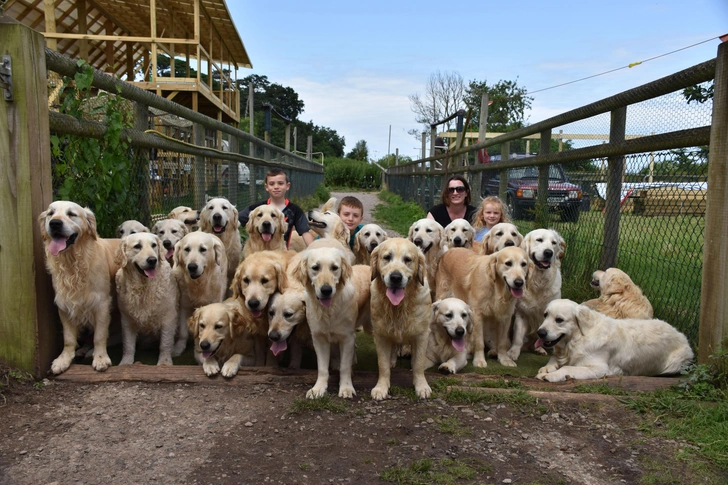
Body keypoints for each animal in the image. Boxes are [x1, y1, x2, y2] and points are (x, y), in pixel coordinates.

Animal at [39, 200, 121, 374]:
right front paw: (64, 359)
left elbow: (100, 335)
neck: (73, 262)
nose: (55, 223)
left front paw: (101, 358)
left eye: (71, 214)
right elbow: (68, 338)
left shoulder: (101, 303)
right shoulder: (64, 304)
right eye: (50, 213)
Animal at [116, 231, 181, 364]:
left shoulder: (169, 317)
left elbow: (165, 343)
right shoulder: (126, 319)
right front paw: (126, 363)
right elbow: (128, 345)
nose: (152, 260)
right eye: (137, 246)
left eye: (154, 245)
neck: (144, 286)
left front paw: (164, 363)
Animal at [370, 238, 432, 400]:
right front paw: (381, 388)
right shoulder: (381, 335)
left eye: (408, 259)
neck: (399, 306)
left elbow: (418, 364)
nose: (396, 277)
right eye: (387, 257)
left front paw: (422, 386)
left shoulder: (422, 335)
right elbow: (383, 365)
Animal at [510, 231, 564, 364]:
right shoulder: (521, 313)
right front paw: (513, 352)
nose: (549, 252)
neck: (538, 281)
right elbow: (518, 337)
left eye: (554, 243)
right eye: (539, 240)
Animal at [536, 298, 692, 382]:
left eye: (559, 320)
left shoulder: (599, 368)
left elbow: (567, 367)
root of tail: (681, 335)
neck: (579, 337)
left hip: (674, 362)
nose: (540, 333)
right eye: (545, 315)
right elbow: (554, 360)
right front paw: (547, 369)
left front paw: (551, 375)